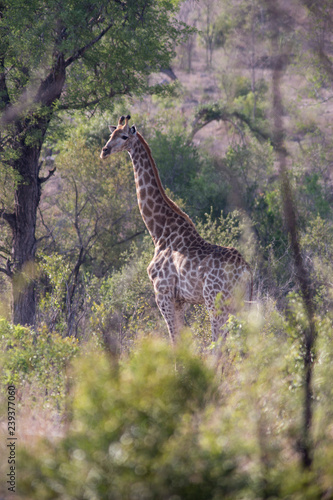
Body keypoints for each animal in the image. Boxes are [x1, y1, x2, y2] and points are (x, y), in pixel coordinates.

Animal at [99, 116, 252, 344]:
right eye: (111, 134)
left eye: (124, 136)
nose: (104, 151)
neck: (160, 232)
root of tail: (245, 271)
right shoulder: (180, 300)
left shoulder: (163, 293)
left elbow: (174, 341)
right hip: (243, 304)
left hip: (216, 302)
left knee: (220, 343)